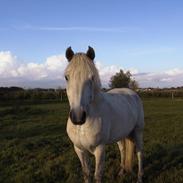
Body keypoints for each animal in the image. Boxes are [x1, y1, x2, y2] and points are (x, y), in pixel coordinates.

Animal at [64, 46, 144, 182]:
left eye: (91, 78)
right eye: (66, 77)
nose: (78, 117)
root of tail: (132, 93)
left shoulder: (100, 149)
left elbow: (98, 175)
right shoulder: (79, 150)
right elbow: (86, 173)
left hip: (138, 132)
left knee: (139, 153)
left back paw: (139, 178)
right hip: (122, 134)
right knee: (123, 150)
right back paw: (121, 172)